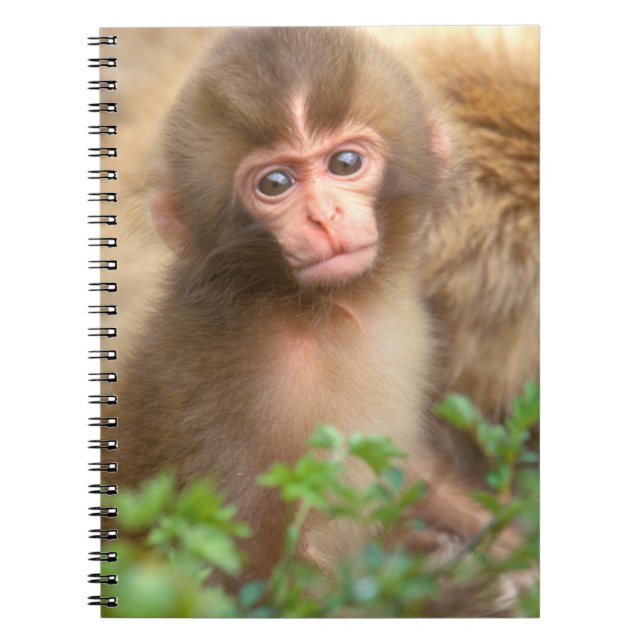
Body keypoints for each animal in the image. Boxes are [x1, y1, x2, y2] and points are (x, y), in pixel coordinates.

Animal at [106, 27, 537, 599]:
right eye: (274, 184)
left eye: (345, 163)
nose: (324, 216)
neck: (325, 312)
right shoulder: (242, 387)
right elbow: (244, 579)